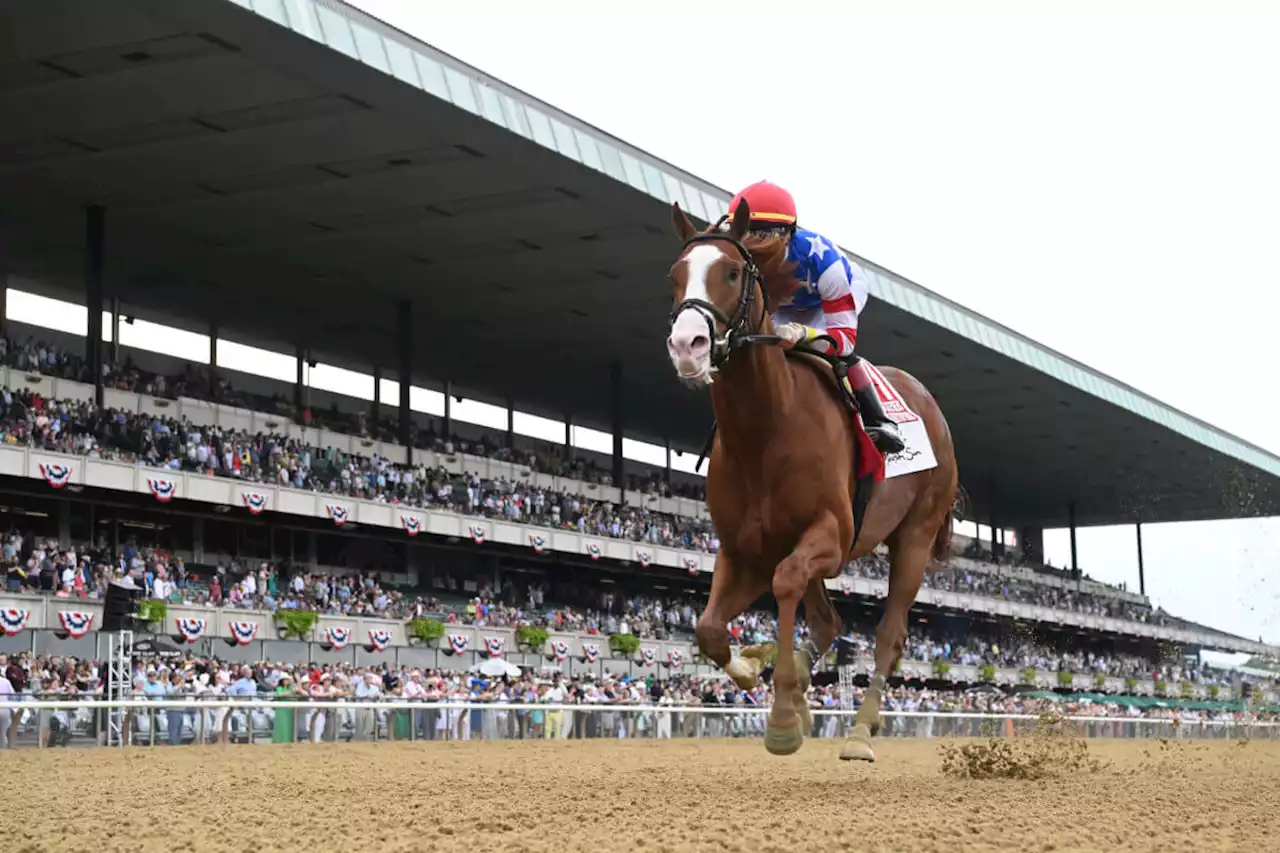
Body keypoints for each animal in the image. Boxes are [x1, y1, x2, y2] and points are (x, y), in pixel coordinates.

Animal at [665, 199, 957, 758]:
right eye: (675, 274)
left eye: (731, 272)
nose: (687, 345)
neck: (765, 428)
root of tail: (930, 404)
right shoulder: (744, 550)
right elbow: (708, 628)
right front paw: (759, 671)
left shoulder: (831, 534)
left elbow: (786, 584)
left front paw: (782, 717)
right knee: (828, 620)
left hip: (914, 535)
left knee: (889, 634)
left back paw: (860, 730)